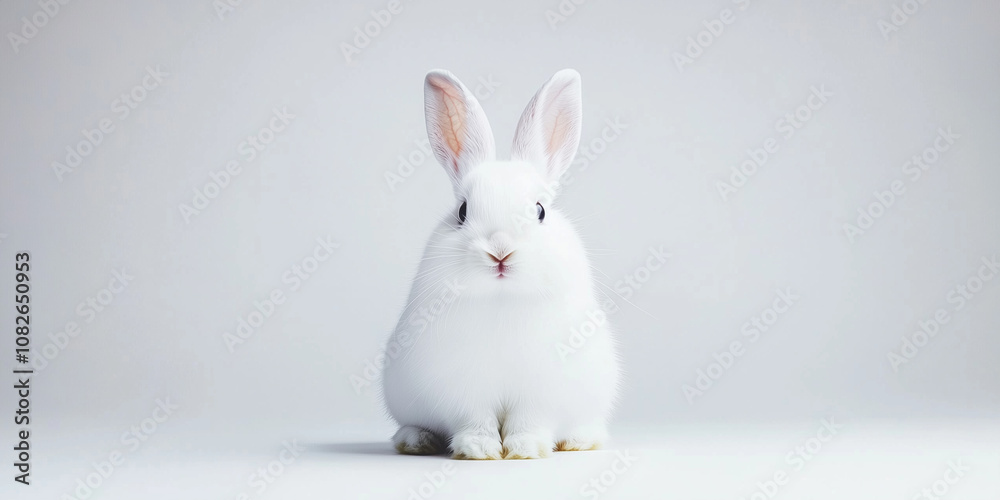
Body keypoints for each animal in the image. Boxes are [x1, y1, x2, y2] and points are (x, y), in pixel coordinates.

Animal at [381, 69, 620, 460]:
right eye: (462, 212)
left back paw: (580, 441)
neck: (503, 300)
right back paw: (416, 441)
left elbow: (530, 420)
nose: (500, 251)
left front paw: (525, 448)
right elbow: (473, 419)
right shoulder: (463, 388)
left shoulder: (542, 389)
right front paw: (478, 449)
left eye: (540, 210)